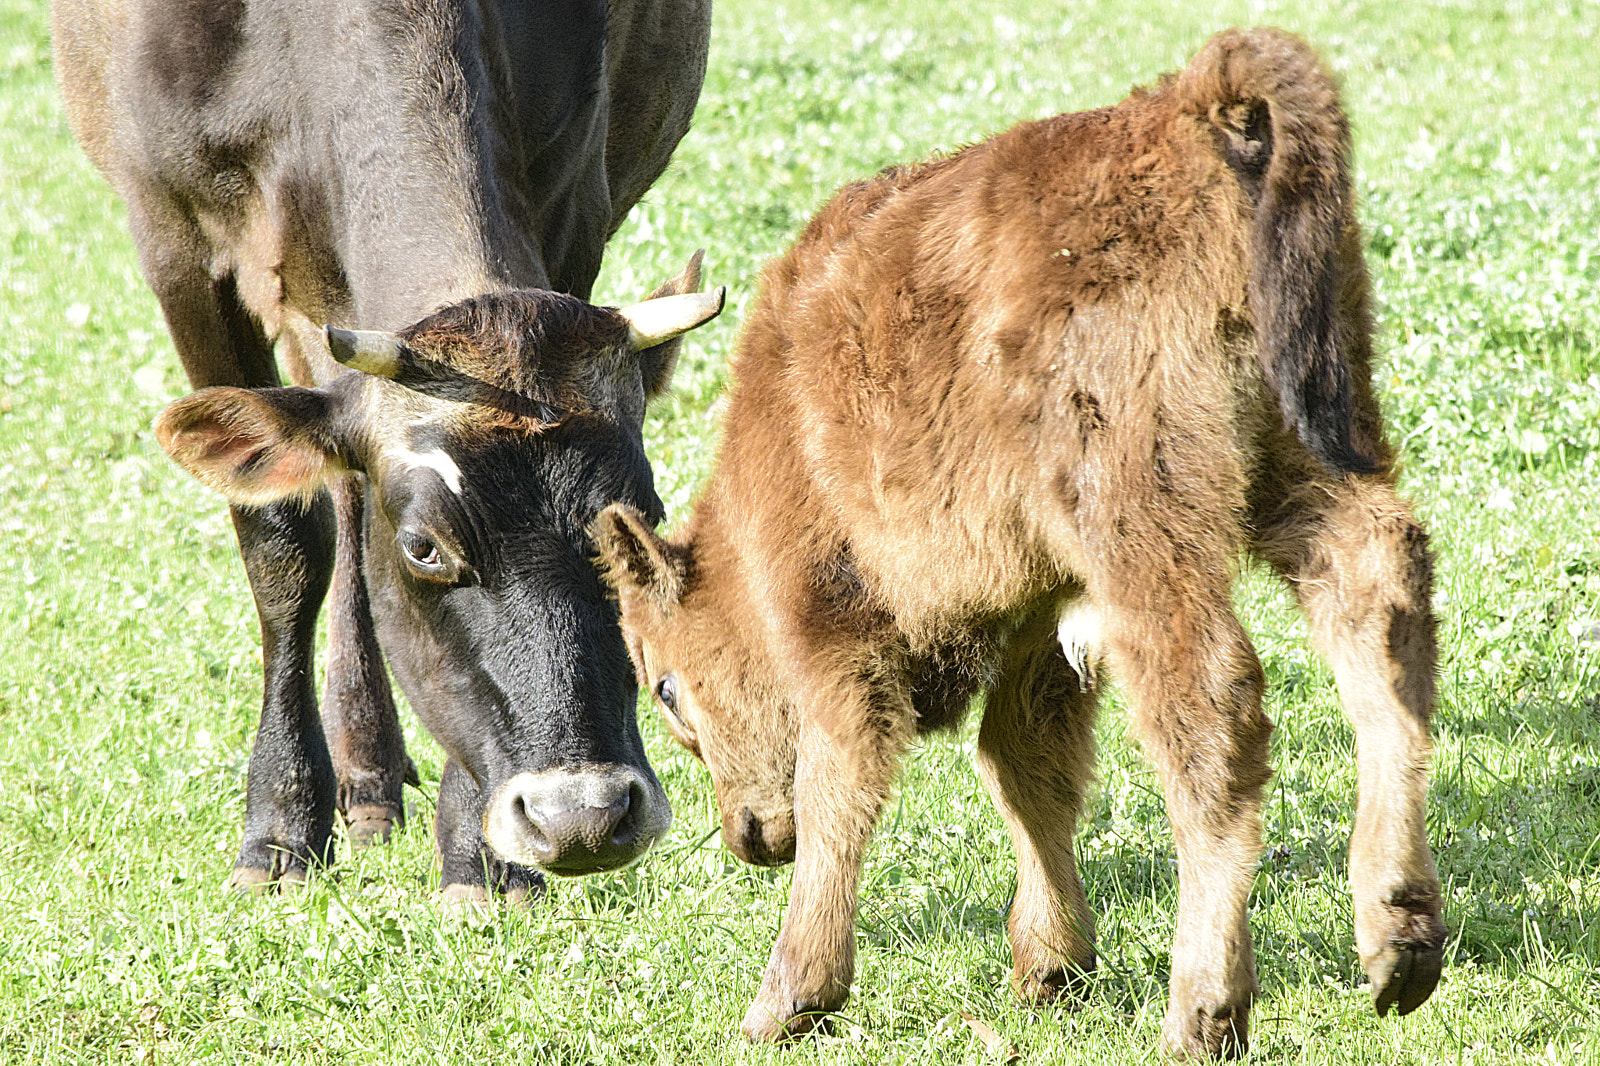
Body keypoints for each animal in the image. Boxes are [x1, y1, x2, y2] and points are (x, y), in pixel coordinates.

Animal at [51, 0, 718, 903]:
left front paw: (478, 860)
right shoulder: (178, 245)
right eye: (425, 547)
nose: (581, 815)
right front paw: (280, 826)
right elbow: (283, 541)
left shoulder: (575, 205)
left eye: (639, 519)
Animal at [594, 28, 1446, 1059]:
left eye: (666, 688)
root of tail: (1182, 113)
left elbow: (844, 778)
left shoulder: (833, 625)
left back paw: (1203, 1009)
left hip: (1145, 522)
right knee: (1379, 597)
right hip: (1311, 454)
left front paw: (789, 996)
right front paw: (1051, 965)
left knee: (1209, 711)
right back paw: (1399, 935)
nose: (751, 836)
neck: (777, 433)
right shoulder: (1045, 608)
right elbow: (1028, 767)